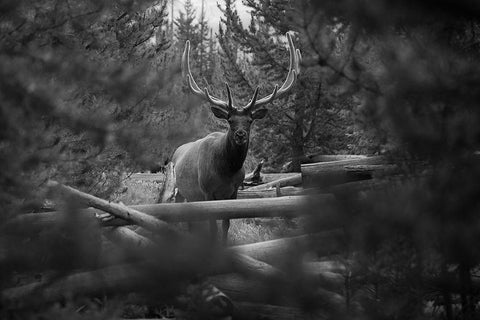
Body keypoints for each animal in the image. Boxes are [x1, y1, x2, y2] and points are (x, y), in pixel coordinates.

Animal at [172, 32, 300, 244]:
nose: (240, 134)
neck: (226, 171)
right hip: (179, 190)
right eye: (230, 120)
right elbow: (213, 228)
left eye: (249, 120)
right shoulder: (207, 192)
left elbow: (226, 224)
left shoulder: (233, 192)